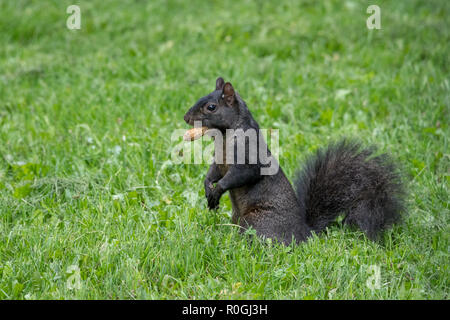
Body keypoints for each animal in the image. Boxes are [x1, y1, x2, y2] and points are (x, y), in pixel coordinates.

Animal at [183, 77, 404, 245]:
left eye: (211, 107)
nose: (186, 118)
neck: (223, 137)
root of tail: (305, 233)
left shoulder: (249, 157)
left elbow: (239, 175)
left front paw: (217, 191)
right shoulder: (219, 162)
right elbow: (213, 173)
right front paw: (207, 187)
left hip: (257, 220)